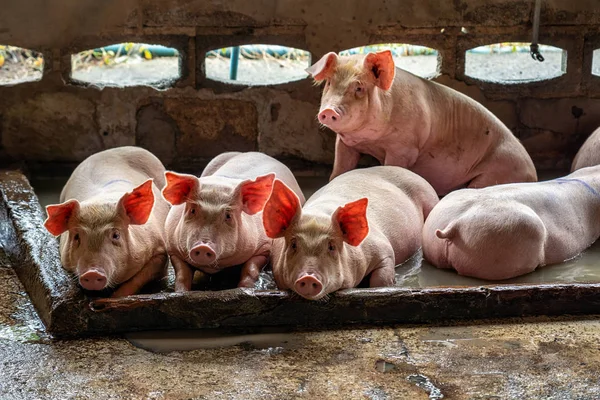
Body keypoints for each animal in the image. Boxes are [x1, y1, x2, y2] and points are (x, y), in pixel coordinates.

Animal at [43, 147, 170, 296]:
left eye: (115, 235)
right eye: (76, 237)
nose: (92, 273)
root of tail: (111, 150)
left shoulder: (160, 250)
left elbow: (137, 279)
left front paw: (115, 297)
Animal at [163, 151, 308, 290]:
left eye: (228, 216)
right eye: (192, 210)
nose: (203, 247)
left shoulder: (263, 247)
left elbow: (250, 270)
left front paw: (243, 288)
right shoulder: (173, 248)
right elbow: (182, 275)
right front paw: (181, 291)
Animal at [262, 166, 436, 300]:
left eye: (331, 247)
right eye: (293, 244)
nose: (308, 277)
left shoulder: (384, 249)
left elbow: (381, 280)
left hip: (429, 197)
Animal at [308, 49, 536, 196]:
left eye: (359, 88)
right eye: (329, 83)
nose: (328, 111)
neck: (371, 142)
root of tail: (532, 174)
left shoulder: (405, 148)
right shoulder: (346, 142)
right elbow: (340, 168)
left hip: (497, 171)